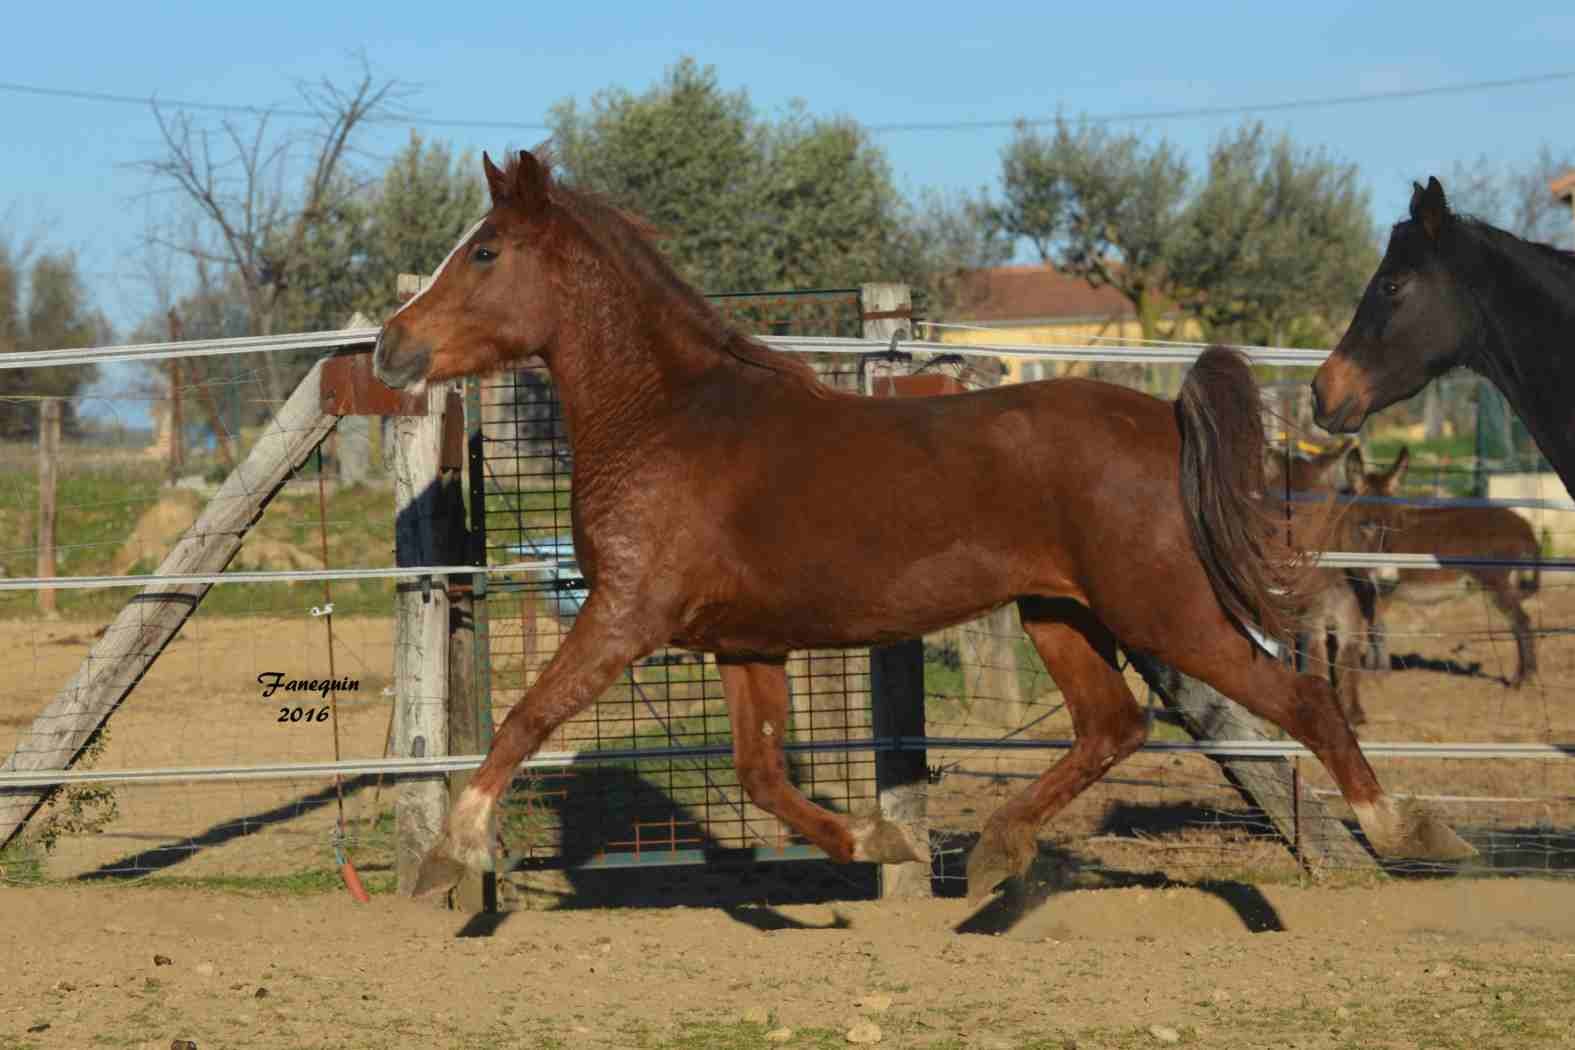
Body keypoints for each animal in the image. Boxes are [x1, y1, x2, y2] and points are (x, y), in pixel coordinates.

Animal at [374, 149, 1467, 906]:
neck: (670, 419)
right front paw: (878, 843)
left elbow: (527, 717)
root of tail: (1163, 418)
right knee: (1113, 724)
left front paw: (447, 856)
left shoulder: (628, 612)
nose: (389, 348)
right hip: (1058, 614)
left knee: (1300, 702)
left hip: (1165, 613)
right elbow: (759, 773)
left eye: (484, 251)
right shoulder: (742, 640)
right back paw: (991, 852)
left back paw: (1410, 832)